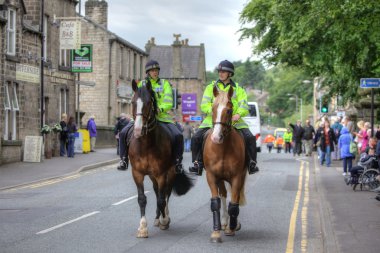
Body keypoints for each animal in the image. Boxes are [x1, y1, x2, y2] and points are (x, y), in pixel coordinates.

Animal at [128, 79, 193, 237]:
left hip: (170, 172)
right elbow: (142, 199)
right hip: (152, 176)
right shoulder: (137, 173)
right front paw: (142, 228)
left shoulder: (162, 173)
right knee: (157, 191)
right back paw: (158, 218)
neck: (146, 145)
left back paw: (164, 217)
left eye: (148, 102)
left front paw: (165, 221)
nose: (138, 130)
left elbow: (162, 199)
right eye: (132, 102)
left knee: (166, 193)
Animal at [203, 85, 248, 243]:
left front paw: (232, 227)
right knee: (223, 194)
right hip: (220, 178)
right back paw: (223, 222)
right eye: (213, 108)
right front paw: (216, 233)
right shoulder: (211, 176)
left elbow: (234, 204)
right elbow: (215, 202)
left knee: (235, 197)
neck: (222, 149)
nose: (216, 137)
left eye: (229, 110)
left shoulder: (237, 177)